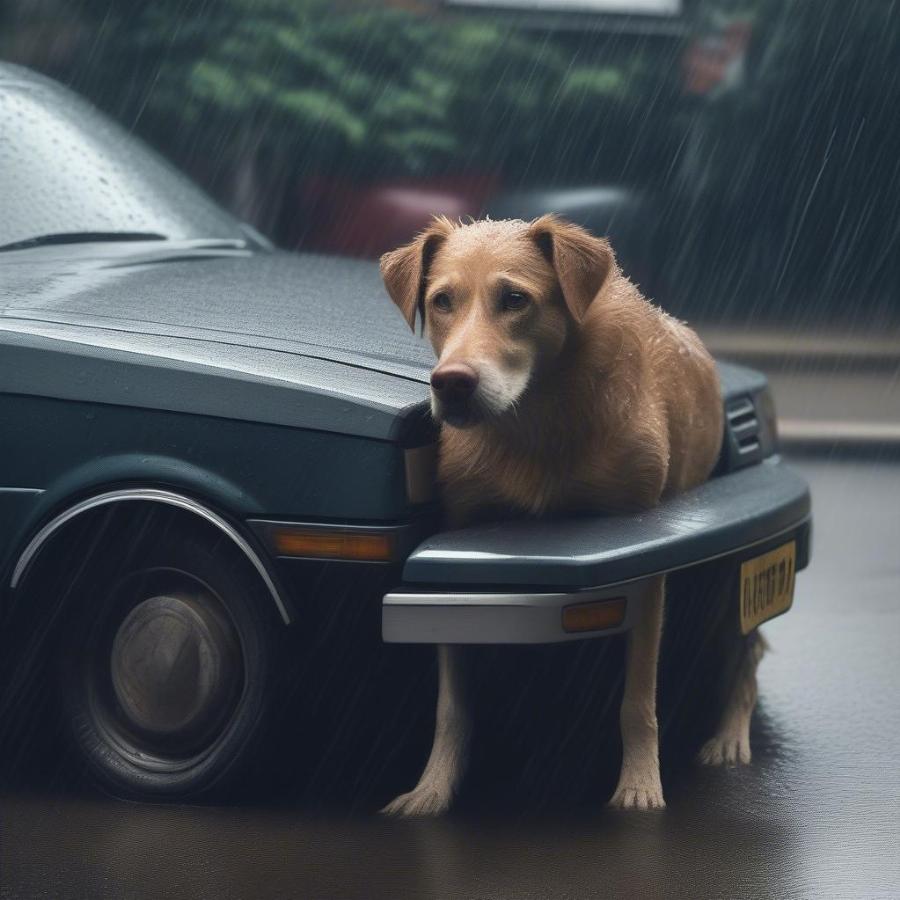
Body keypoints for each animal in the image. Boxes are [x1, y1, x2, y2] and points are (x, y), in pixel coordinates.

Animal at [376, 214, 764, 812]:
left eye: (515, 299)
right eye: (442, 301)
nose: (452, 383)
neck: (535, 420)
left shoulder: (642, 558)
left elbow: (638, 700)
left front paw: (639, 785)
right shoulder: (454, 554)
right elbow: (452, 702)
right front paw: (433, 788)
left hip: (728, 568)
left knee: (747, 648)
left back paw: (728, 736)